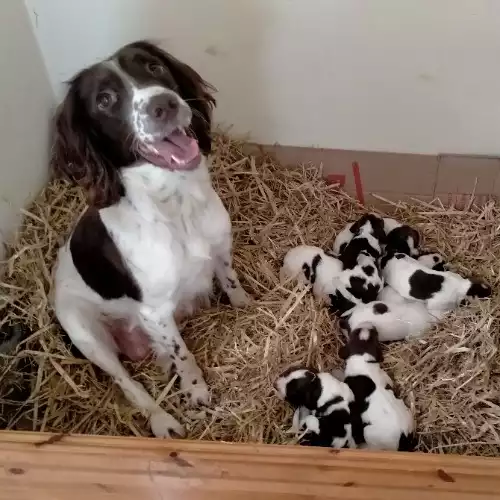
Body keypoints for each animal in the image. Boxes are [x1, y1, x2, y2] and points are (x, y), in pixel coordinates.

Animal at [51, 40, 250, 438]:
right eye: (105, 100)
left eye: (154, 67)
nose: (164, 104)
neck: (177, 204)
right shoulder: (155, 312)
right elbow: (181, 354)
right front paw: (196, 390)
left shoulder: (221, 250)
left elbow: (232, 283)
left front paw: (249, 307)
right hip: (82, 328)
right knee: (128, 383)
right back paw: (163, 421)